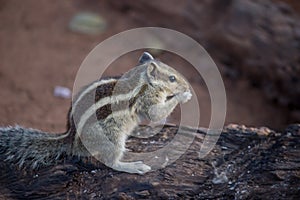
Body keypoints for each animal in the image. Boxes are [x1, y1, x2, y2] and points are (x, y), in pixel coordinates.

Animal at [0, 52, 192, 174]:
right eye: (172, 78)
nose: (187, 86)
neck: (141, 79)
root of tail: (71, 140)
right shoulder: (148, 99)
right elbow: (156, 114)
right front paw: (183, 96)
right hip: (111, 137)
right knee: (111, 162)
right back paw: (132, 166)